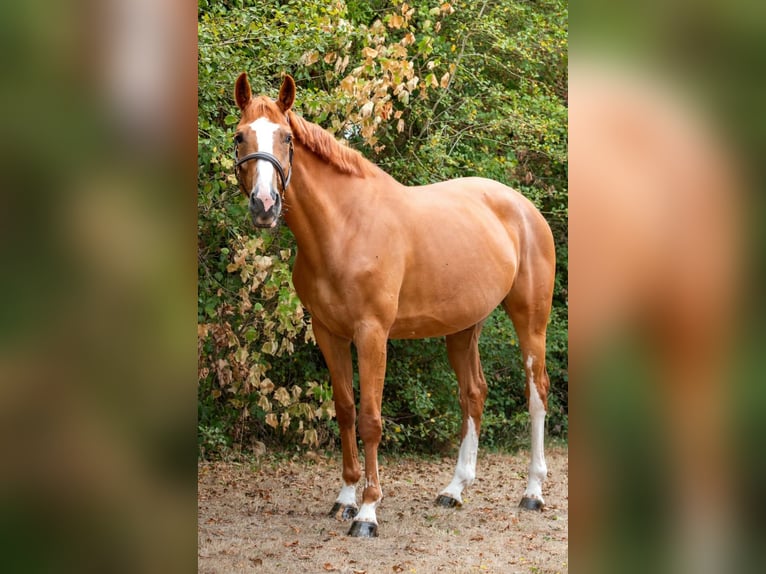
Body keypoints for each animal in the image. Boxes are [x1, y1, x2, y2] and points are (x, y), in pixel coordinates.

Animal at [232, 73, 557, 537]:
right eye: (240, 136)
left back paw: (532, 491)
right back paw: (454, 489)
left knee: (537, 394)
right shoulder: (329, 333)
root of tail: (526, 208)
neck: (345, 226)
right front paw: (345, 498)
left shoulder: (372, 334)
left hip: (530, 322)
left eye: (286, 137)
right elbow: (346, 411)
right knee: (473, 393)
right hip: (463, 328)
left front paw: (368, 511)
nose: (264, 205)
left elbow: (370, 418)